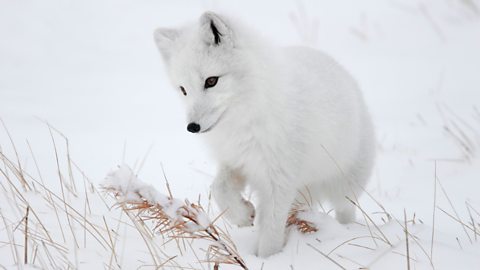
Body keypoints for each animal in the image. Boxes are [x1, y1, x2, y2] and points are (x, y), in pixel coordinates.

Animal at [154, 12, 376, 258]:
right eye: (183, 89)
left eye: (211, 81)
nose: (192, 127)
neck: (246, 117)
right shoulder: (237, 161)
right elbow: (219, 188)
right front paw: (243, 215)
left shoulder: (279, 180)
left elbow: (270, 230)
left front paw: (267, 259)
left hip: (344, 187)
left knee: (345, 210)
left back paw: (346, 233)